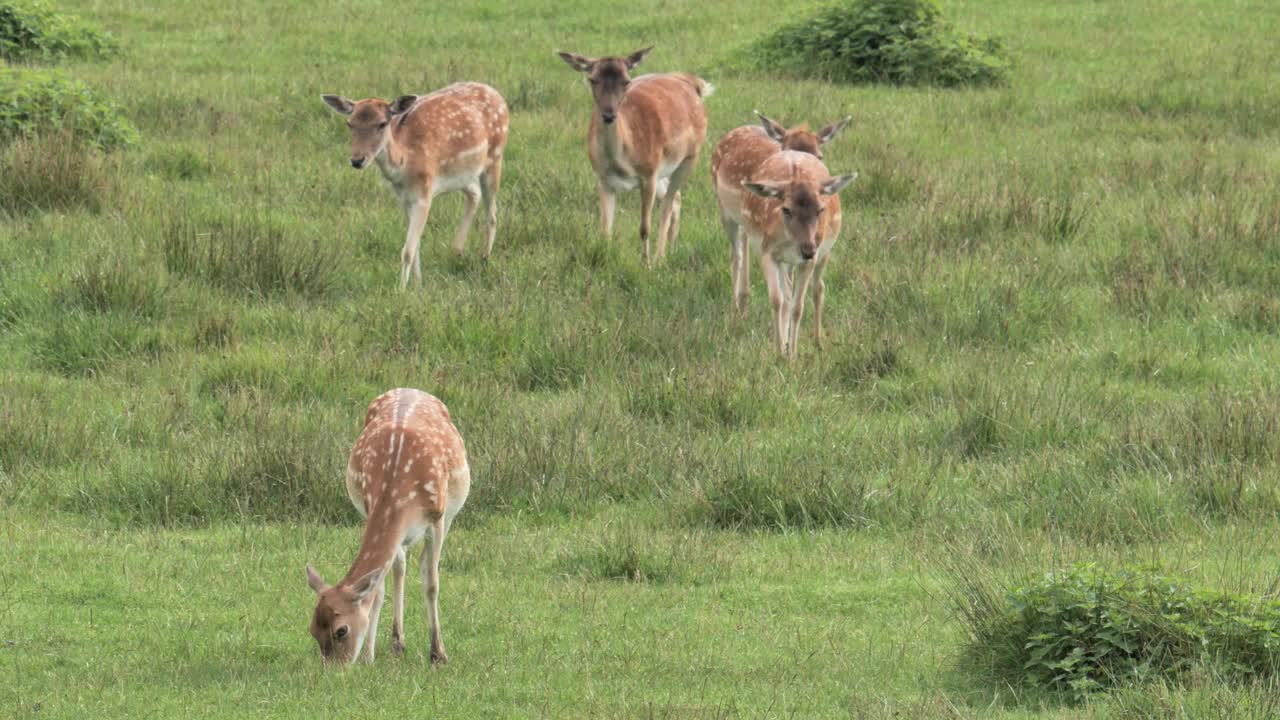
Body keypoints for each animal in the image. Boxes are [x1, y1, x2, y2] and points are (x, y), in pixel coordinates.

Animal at [304, 389, 471, 666]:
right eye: (312, 630)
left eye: (341, 630)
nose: (334, 670)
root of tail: (411, 389)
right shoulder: (368, 506)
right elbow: (378, 589)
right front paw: (368, 657)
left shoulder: (436, 518)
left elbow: (432, 582)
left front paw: (438, 654)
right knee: (399, 566)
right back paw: (397, 642)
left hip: (449, 513)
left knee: (421, 563)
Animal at [320, 81, 509, 288]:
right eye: (349, 123)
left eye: (382, 123)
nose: (357, 160)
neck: (404, 162)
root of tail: (497, 94)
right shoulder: (403, 198)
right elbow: (416, 245)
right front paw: (418, 285)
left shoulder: (424, 194)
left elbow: (408, 249)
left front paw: (401, 289)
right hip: (462, 174)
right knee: (474, 194)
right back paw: (457, 250)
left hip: (495, 157)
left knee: (492, 214)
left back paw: (484, 259)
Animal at [555, 48, 716, 266]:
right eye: (592, 79)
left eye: (626, 81)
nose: (609, 115)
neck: (621, 161)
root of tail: (690, 82)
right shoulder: (603, 179)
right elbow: (605, 229)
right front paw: (604, 259)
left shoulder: (648, 175)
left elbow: (644, 227)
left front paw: (645, 264)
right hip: (663, 169)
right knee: (676, 199)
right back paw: (672, 249)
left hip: (690, 157)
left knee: (668, 204)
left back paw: (659, 258)